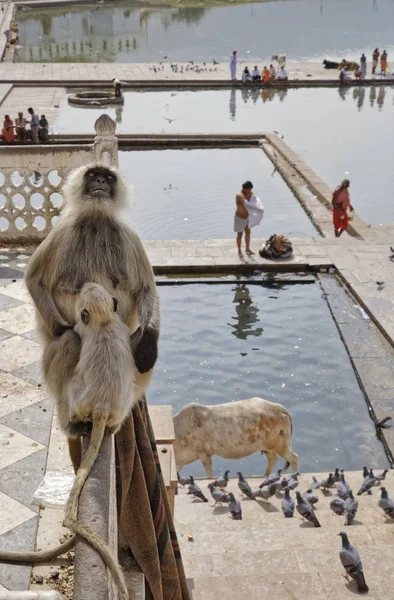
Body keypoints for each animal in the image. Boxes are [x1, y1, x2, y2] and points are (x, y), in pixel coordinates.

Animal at [24, 163, 160, 474]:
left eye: (108, 178)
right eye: (93, 175)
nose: (100, 180)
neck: (96, 220)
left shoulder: (127, 235)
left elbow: (147, 290)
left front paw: (149, 345)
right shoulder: (62, 231)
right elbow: (34, 280)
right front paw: (62, 326)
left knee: (138, 346)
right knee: (69, 342)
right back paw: (73, 422)